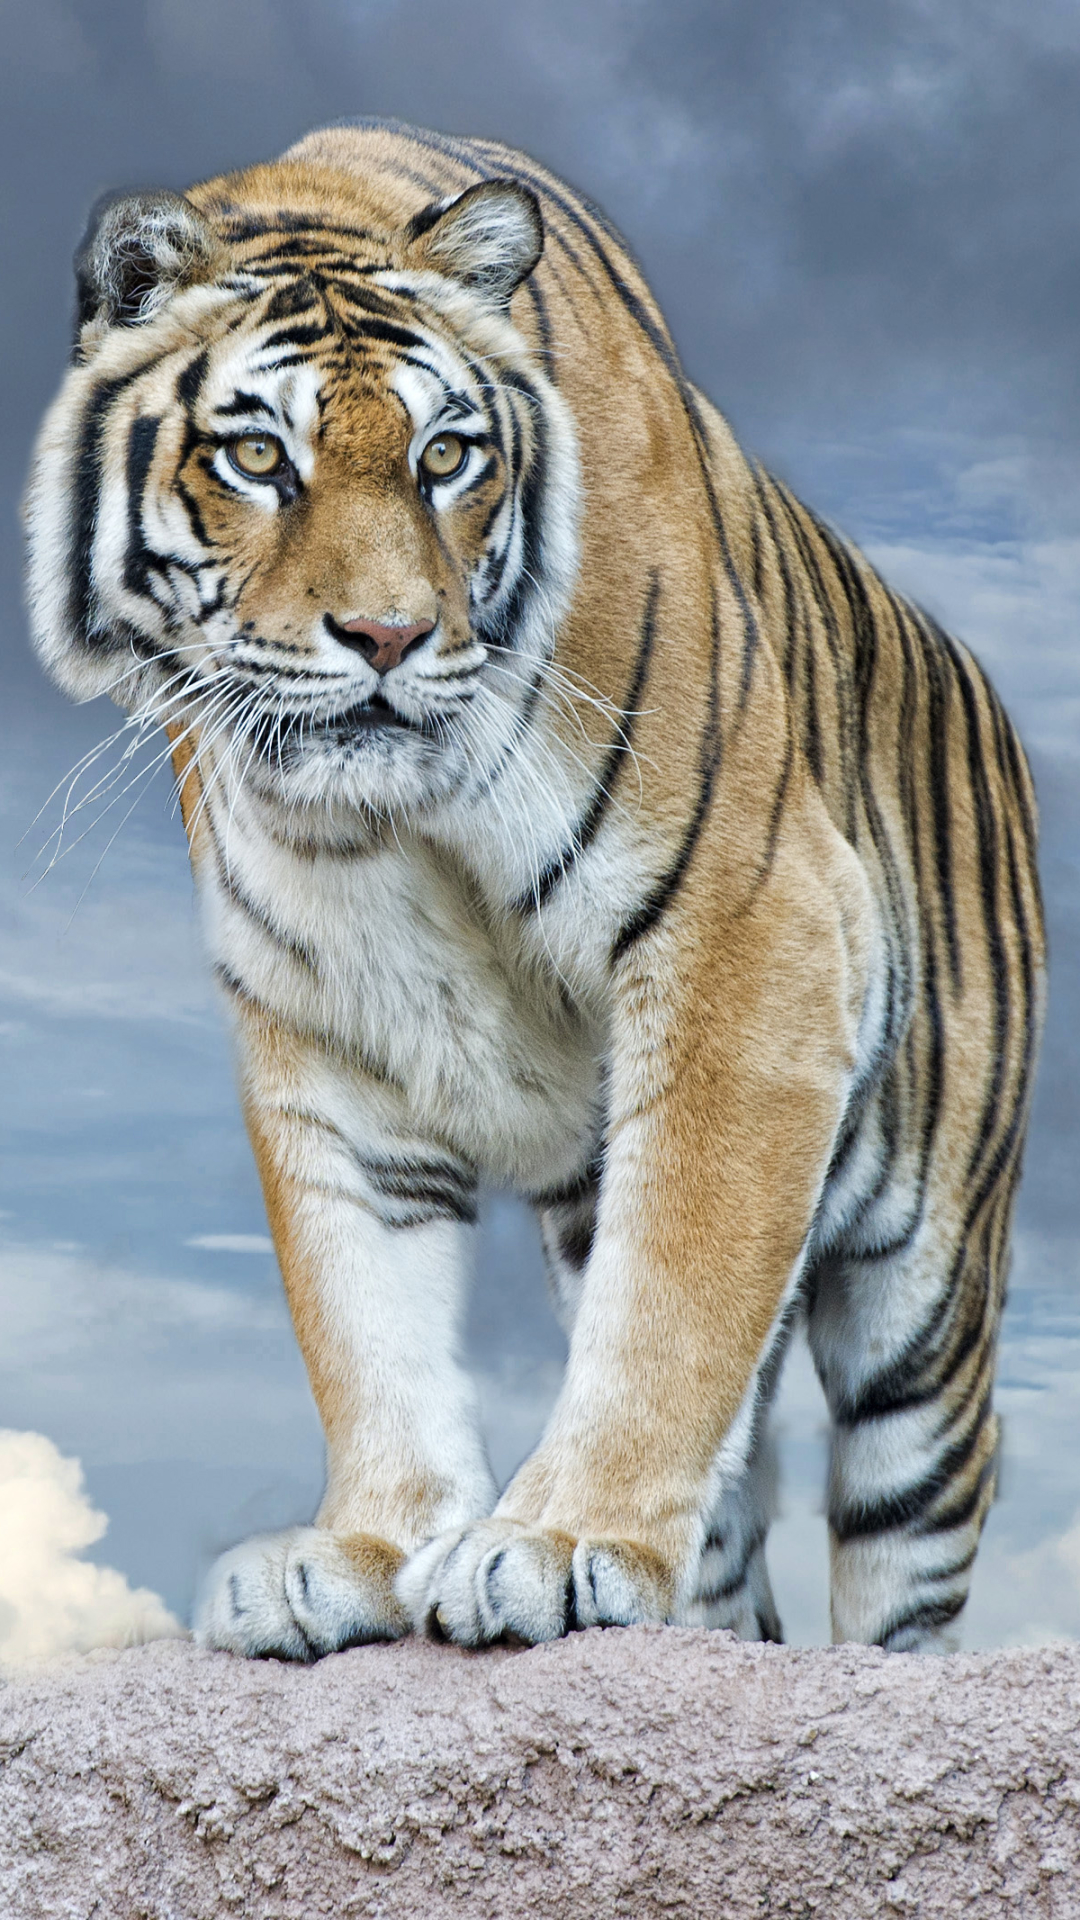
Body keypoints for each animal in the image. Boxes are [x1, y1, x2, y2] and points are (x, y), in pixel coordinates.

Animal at [25, 119, 1045, 1658]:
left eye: (447, 455)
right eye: (258, 456)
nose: (387, 635)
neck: (391, 820)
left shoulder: (749, 930)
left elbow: (674, 1292)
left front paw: (562, 1543)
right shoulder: (322, 1020)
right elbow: (362, 1310)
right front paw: (369, 1547)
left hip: (924, 1305)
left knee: (901, 1563)